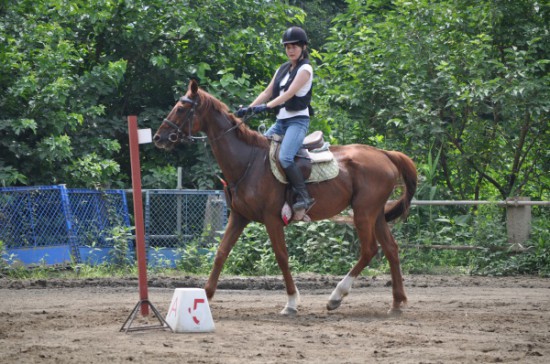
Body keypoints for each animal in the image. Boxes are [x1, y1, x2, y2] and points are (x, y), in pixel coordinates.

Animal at [153, 79, 416, 316]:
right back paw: (397, 302)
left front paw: (291, 302)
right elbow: (221, 253)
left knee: (370, 249)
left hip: (363, 213)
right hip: (376, 214)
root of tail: (384, 154)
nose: (158, 138)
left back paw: (336, 296)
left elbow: (281, 256)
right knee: (391, 249)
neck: (248, 161)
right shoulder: (238, 217)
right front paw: (205, 297)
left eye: (181, 108)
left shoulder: (272, 219)